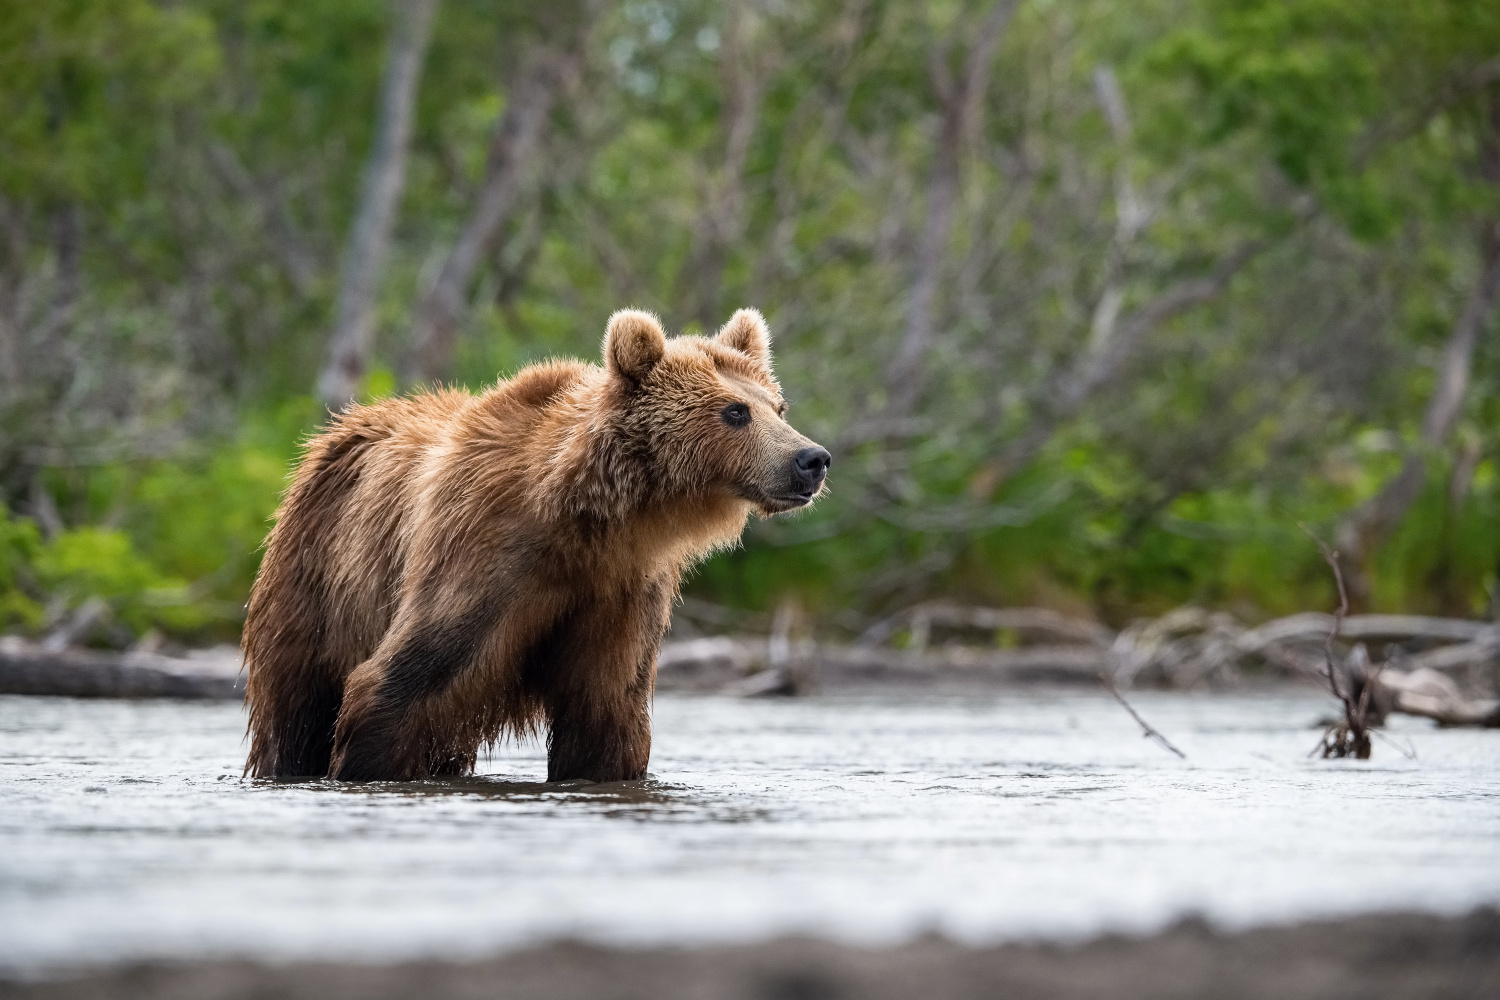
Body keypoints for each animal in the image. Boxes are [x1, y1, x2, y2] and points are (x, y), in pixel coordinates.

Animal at [246, 308, 834, 785]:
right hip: (315, 583)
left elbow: (606, 714)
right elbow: (400, 682)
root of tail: (338, 428)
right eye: (735, 411)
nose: (812, 458)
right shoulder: (483, 552)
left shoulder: (625, 587)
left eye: (778, 405)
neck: (586, 519)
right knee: (294, 711)